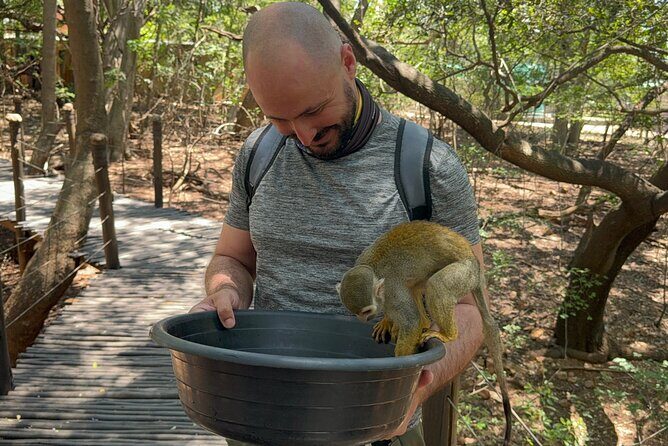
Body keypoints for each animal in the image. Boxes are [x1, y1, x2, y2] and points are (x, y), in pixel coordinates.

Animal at [336, 220, 512, 446]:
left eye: (366, 312)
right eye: (356, 312)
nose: (363, 319)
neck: (374, 270)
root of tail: (475, 263)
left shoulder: (391, 289)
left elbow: (411, 322)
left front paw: (399, 364)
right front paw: (387, 321)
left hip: (465, 273)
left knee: (436, 285)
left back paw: (448, 334)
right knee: (418, 285)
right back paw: (425, 322)